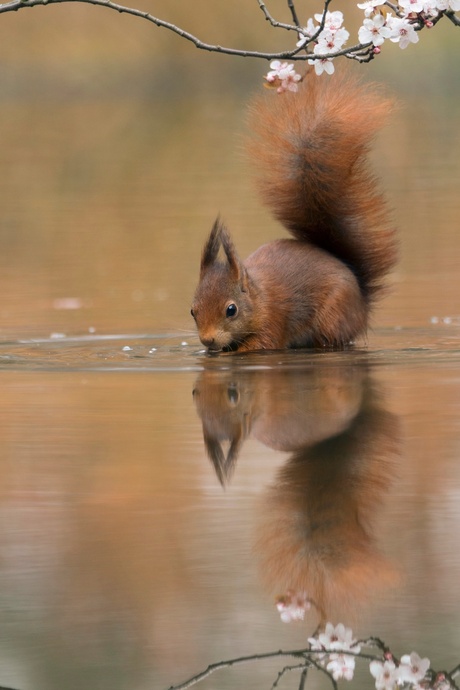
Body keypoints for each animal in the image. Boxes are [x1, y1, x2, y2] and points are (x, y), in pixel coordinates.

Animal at [192, 70, 398, 352]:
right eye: (193, 311)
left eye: (231, 310)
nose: (208, 340)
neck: (258, 297)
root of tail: (362, 302)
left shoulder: (274, 317)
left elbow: (264, 343)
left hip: (333, 318)